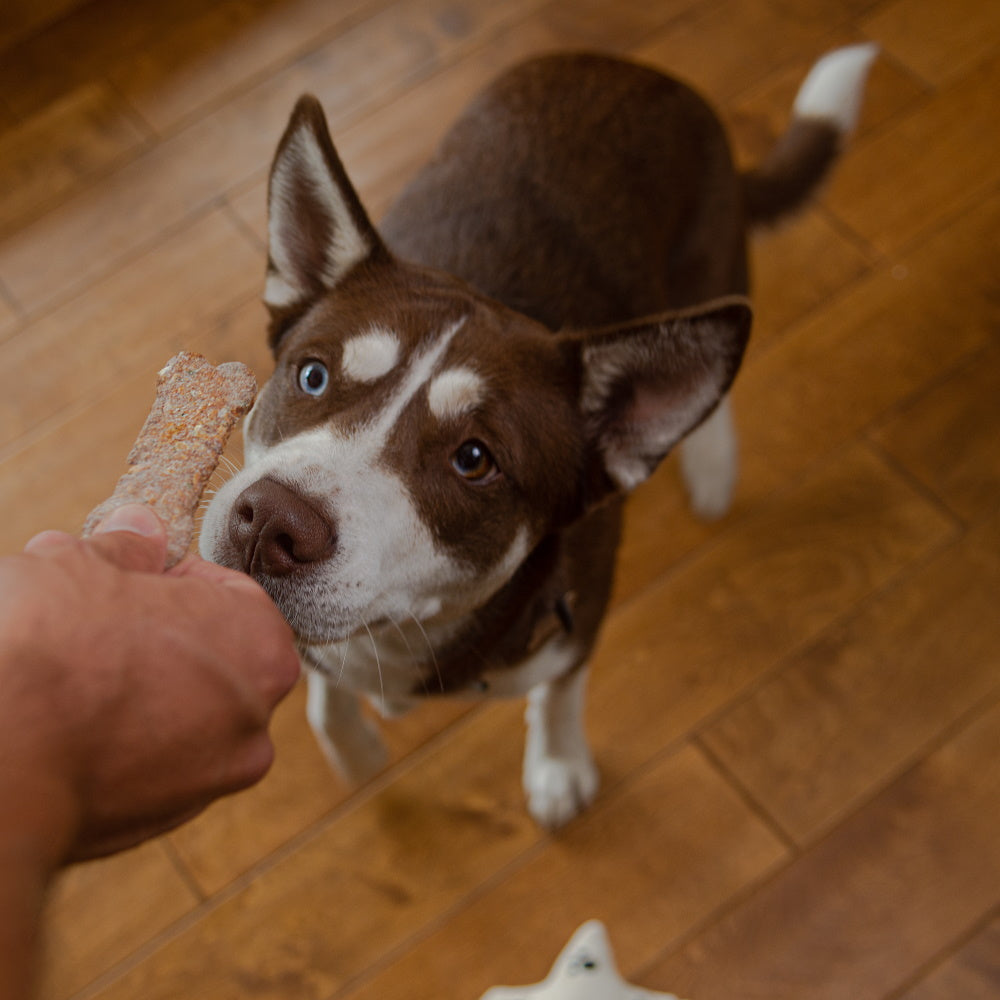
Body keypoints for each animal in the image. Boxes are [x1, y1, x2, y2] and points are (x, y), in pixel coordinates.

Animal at [201, 45, 876, 828]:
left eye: (474, 460)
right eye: (311, 376)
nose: (270, 521)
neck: (416, 632)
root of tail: (642, 72)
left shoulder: (577, 621)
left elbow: (560, 695)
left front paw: (557, 767)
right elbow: (326, 695)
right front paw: (355, 746)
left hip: (712, 266)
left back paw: (712, 465)